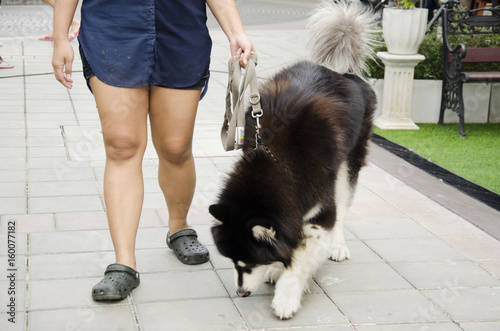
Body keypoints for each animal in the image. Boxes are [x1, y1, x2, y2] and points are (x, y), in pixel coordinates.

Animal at [209, 1, 376, 320]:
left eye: (249, 262)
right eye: (233, 261)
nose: (241, 292)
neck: (278, 161)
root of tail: (342, 72)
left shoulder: (317, 209)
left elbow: (300, 258)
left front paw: (286, 297)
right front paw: (276, 268)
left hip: (346, 165)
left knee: (342, 207)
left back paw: (338, 246)